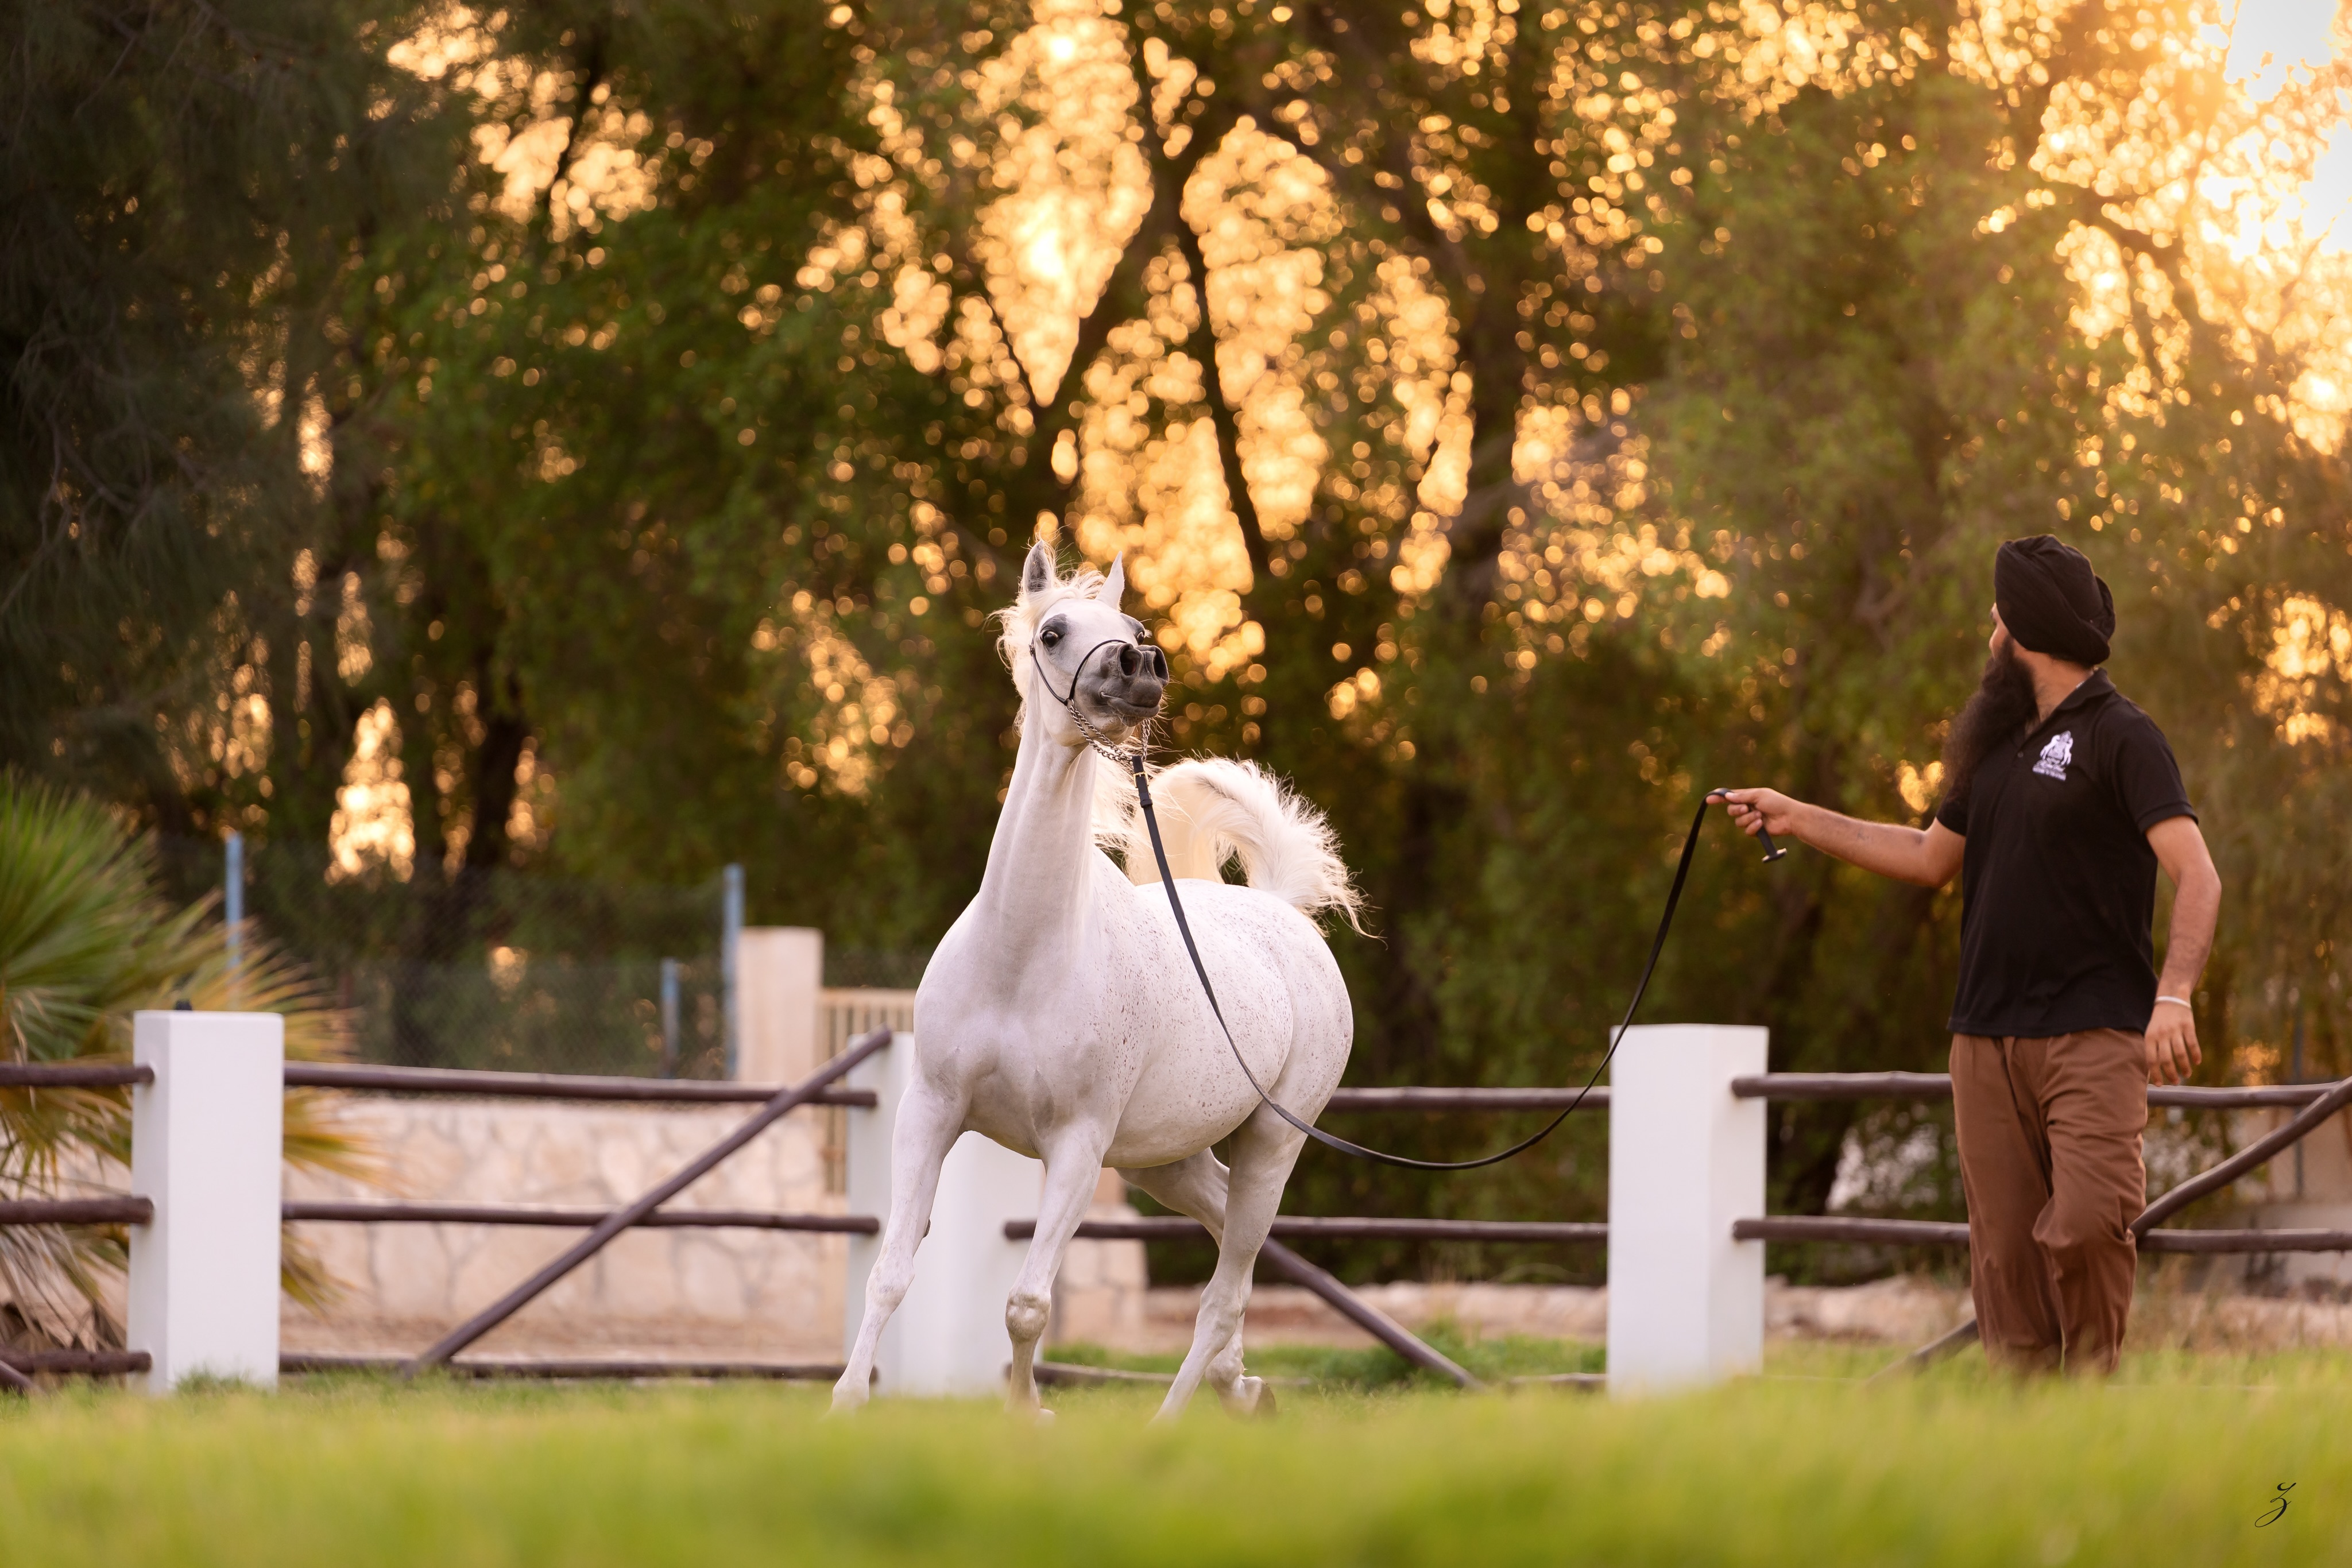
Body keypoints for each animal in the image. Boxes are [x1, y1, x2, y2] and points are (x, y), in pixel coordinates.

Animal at [832, 540, 1360, 1420]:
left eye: (1136, 629)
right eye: (1052, 632)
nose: (1139, 668)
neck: (1023, 959)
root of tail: (1283, 912)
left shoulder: (1076, 1146)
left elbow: (1027, 1304)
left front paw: (1028, 1412)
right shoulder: (930, 1112)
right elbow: (889, 1272)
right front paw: (844, 1402)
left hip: (1272, 1143)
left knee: (1224, 1292)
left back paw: (1173, 1418)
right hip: (1161, 1159)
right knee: (1225, 1231)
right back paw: (1242, 1385)